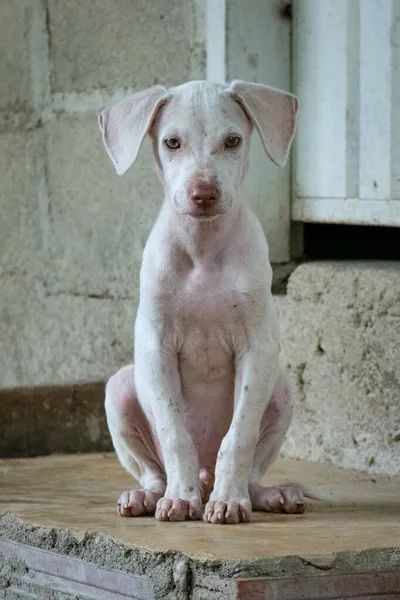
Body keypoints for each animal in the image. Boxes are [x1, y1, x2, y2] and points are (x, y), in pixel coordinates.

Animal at [100, 77, 304, 524]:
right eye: (172, 142)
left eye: (233, 141)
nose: (204, 194)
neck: (204, 249)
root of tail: (205, 474)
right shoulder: (156, 346)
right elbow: (175, 433)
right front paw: (180, 498)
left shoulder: (257, 348)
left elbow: (239, 436)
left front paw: (229, 501)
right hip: (120, 388)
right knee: (153, 472)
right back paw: (150, 496)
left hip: (281, 387)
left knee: (252, 470)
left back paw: (263, 494)